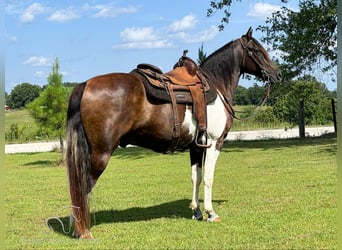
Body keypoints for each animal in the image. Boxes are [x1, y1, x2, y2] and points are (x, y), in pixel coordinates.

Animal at [65, 27, 282, 238]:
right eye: (256, 50)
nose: (277, 74)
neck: (216, 86)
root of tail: (85, 85)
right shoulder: (214, 143)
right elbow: (209, 178)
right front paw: (211, 213)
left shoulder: (196, 146)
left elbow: (196, 176)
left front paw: (196, 211)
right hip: (100, 154)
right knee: (83, 188)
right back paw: (83, 230)